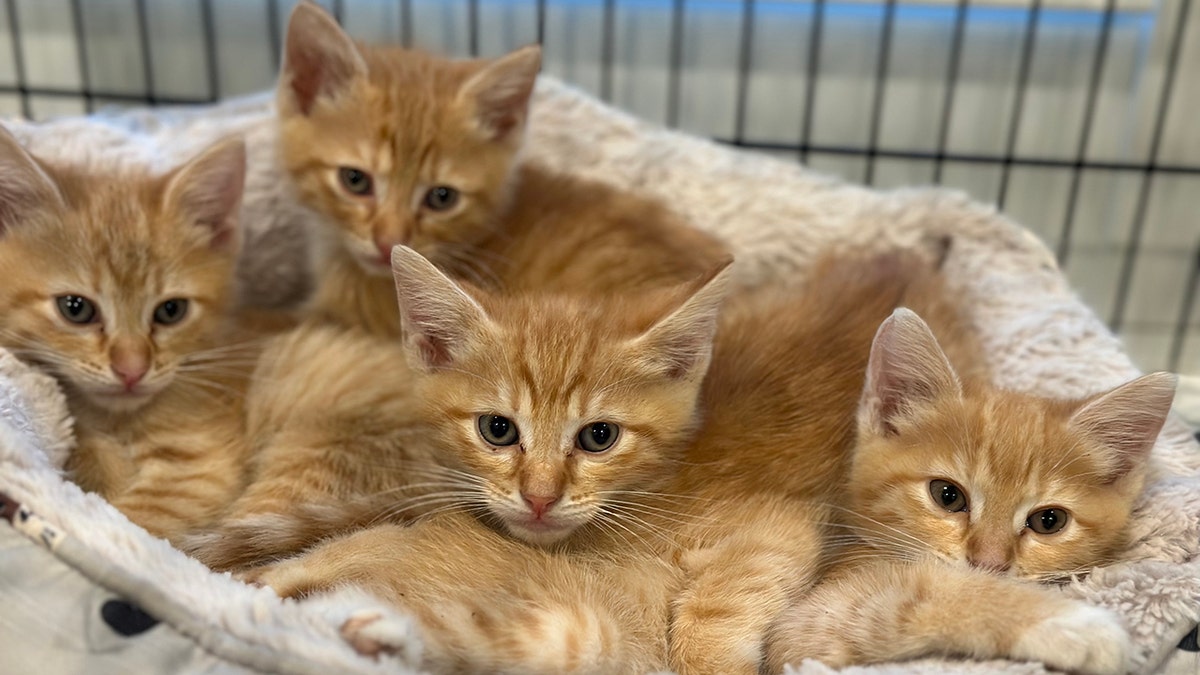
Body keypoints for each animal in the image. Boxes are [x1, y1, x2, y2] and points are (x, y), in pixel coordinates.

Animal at [0, 127, 276, 540]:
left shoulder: (198, 470)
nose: (132, 369)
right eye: (75, 308)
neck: (116, 420)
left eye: (171, 311)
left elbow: (130, 526)